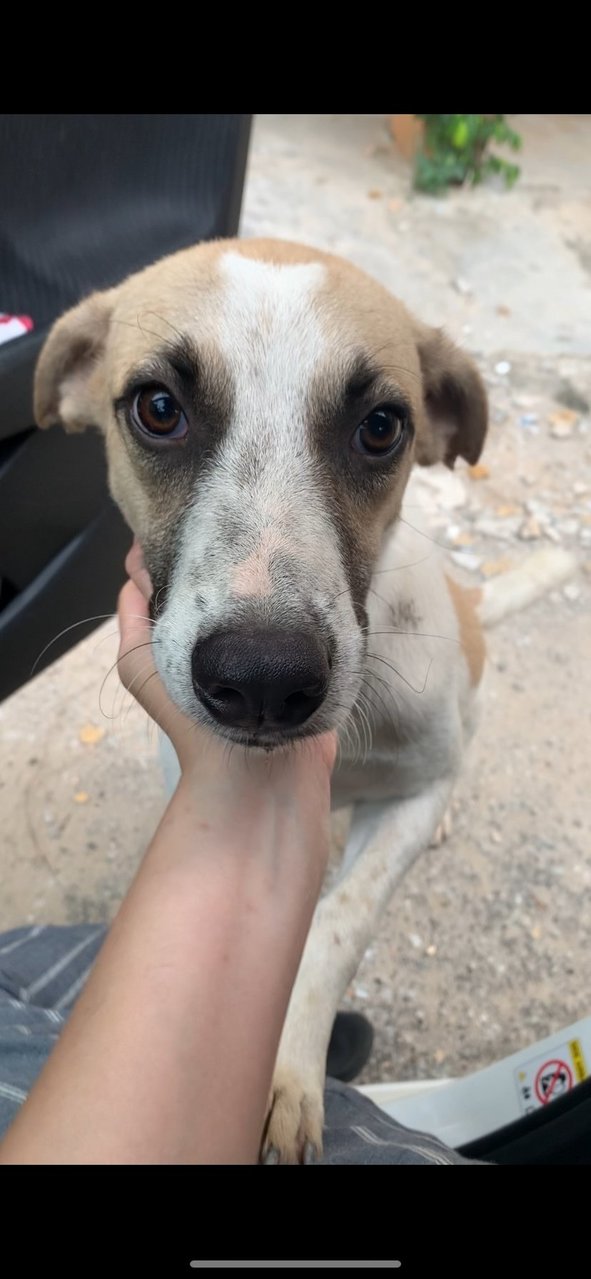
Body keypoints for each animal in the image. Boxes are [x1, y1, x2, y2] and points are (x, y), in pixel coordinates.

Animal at [32, 237, 573, 1161]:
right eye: (158, 408)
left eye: (381, 427)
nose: (262, 679)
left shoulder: (413, 792)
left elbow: (336, 924)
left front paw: (286, 1074)